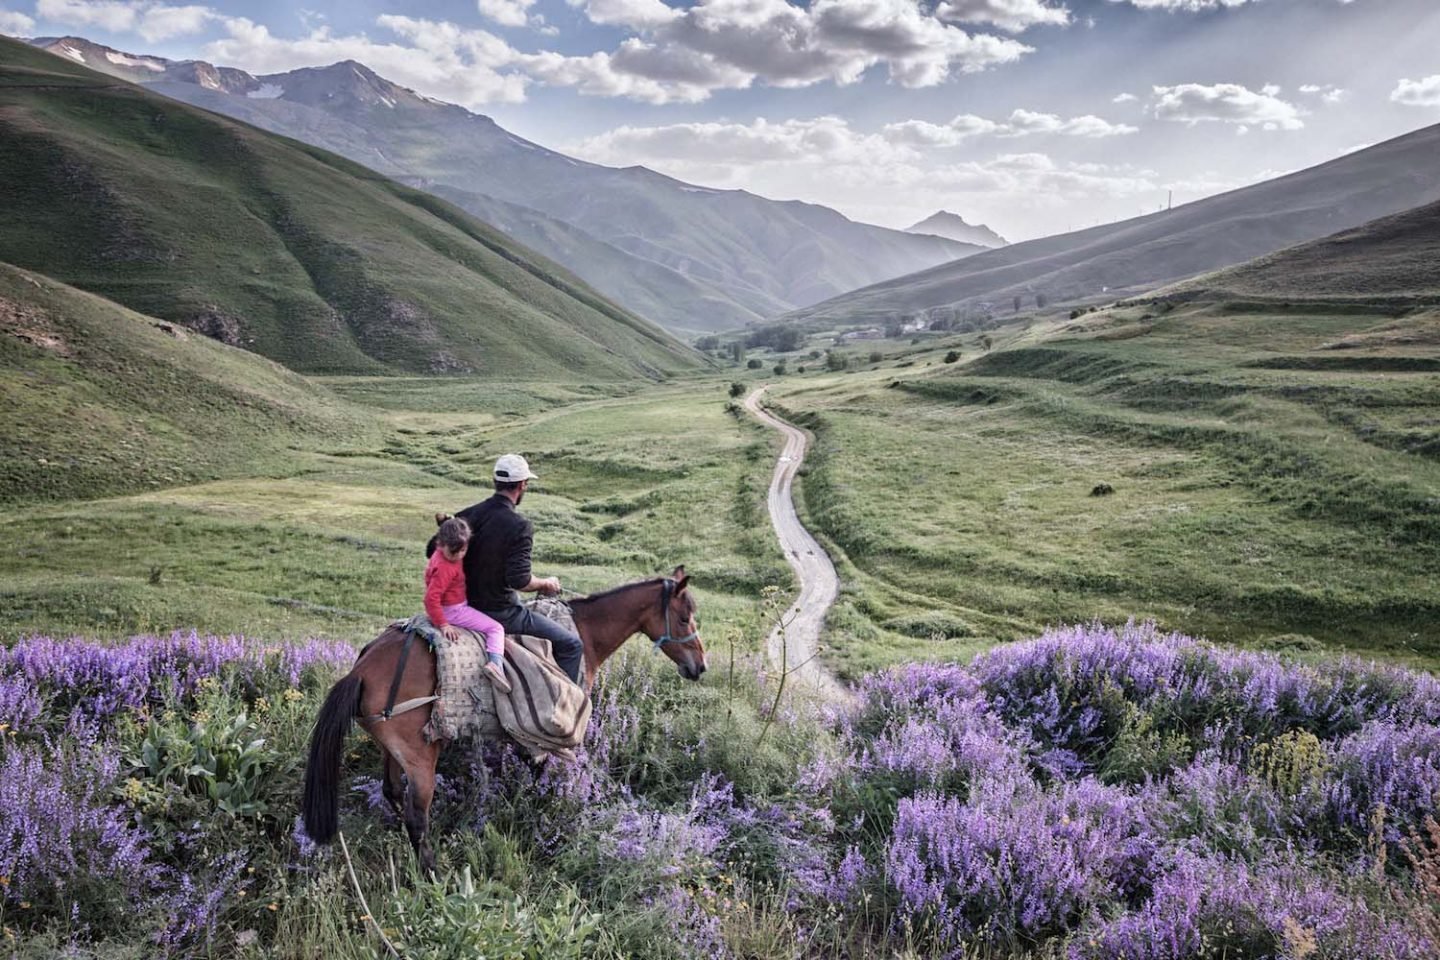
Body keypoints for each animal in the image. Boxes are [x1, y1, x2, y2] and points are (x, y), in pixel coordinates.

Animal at [302, 567, 702, 875]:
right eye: (685, 618)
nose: (700, 666)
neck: (584, 632)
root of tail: (362, 669)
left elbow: (530, 764)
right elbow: (541, 765)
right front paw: (539, 807)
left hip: (392, 750)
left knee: (392, 793)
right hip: (420, 759)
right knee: (418, 816)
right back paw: (432, 872)